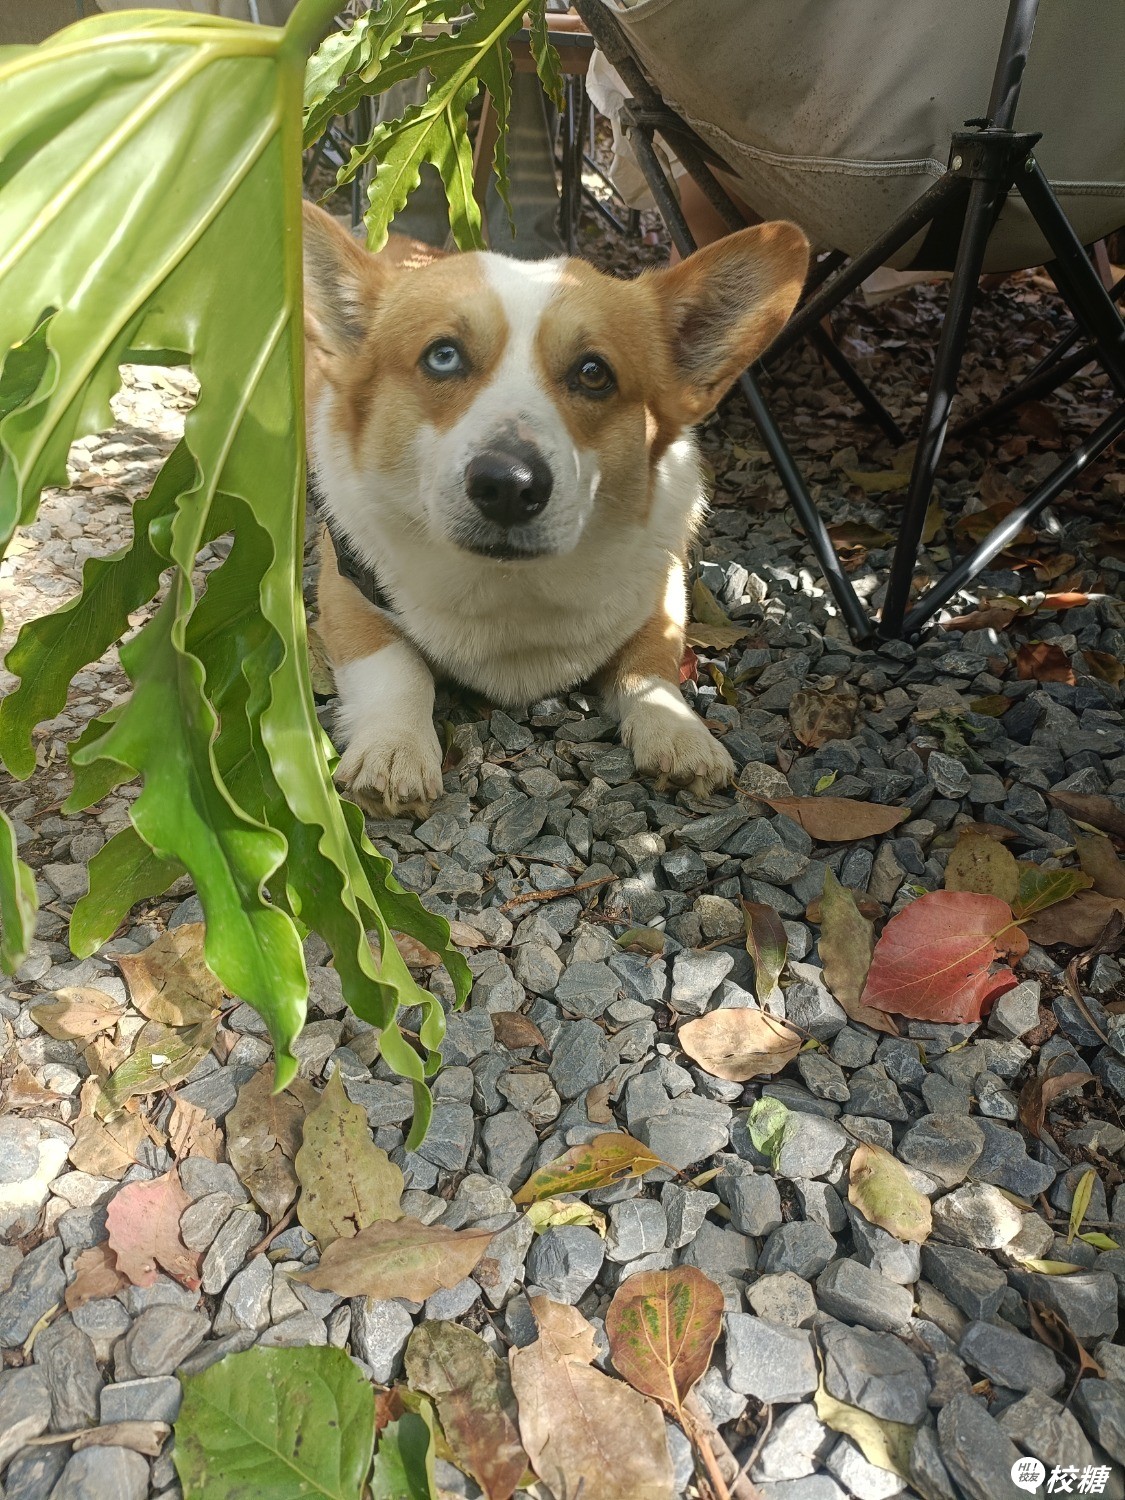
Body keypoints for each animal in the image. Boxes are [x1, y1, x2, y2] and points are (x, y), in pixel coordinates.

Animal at [303, 200, 808, 816]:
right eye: (443, 357)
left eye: (594, 373)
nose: (508, 485)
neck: (511, 590)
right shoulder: (347, 590)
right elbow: (397, 667)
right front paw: (393, 750)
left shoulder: (661, 596)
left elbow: (651, 670)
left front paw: (680, 734)